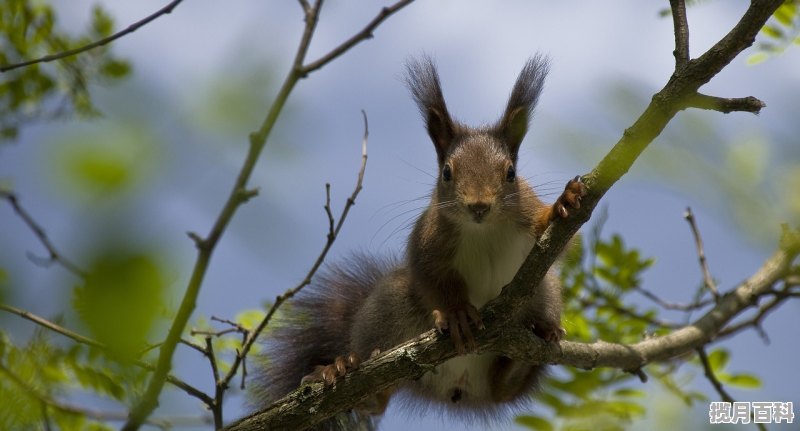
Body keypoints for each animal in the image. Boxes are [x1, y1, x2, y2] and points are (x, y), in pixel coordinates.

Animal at [252, 55, 588, 430]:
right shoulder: (428, 239)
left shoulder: (526, 213)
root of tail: (458, 388)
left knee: (506, 388)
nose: (479, 206)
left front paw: (563, 203)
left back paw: (538, 338)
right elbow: (430, 275)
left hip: (545, 293)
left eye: (511, 173)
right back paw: (344, 370)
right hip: (390, 306)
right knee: (377, 391)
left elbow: (559, 240)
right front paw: (456, 313)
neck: (482, 229)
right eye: (447, 172)